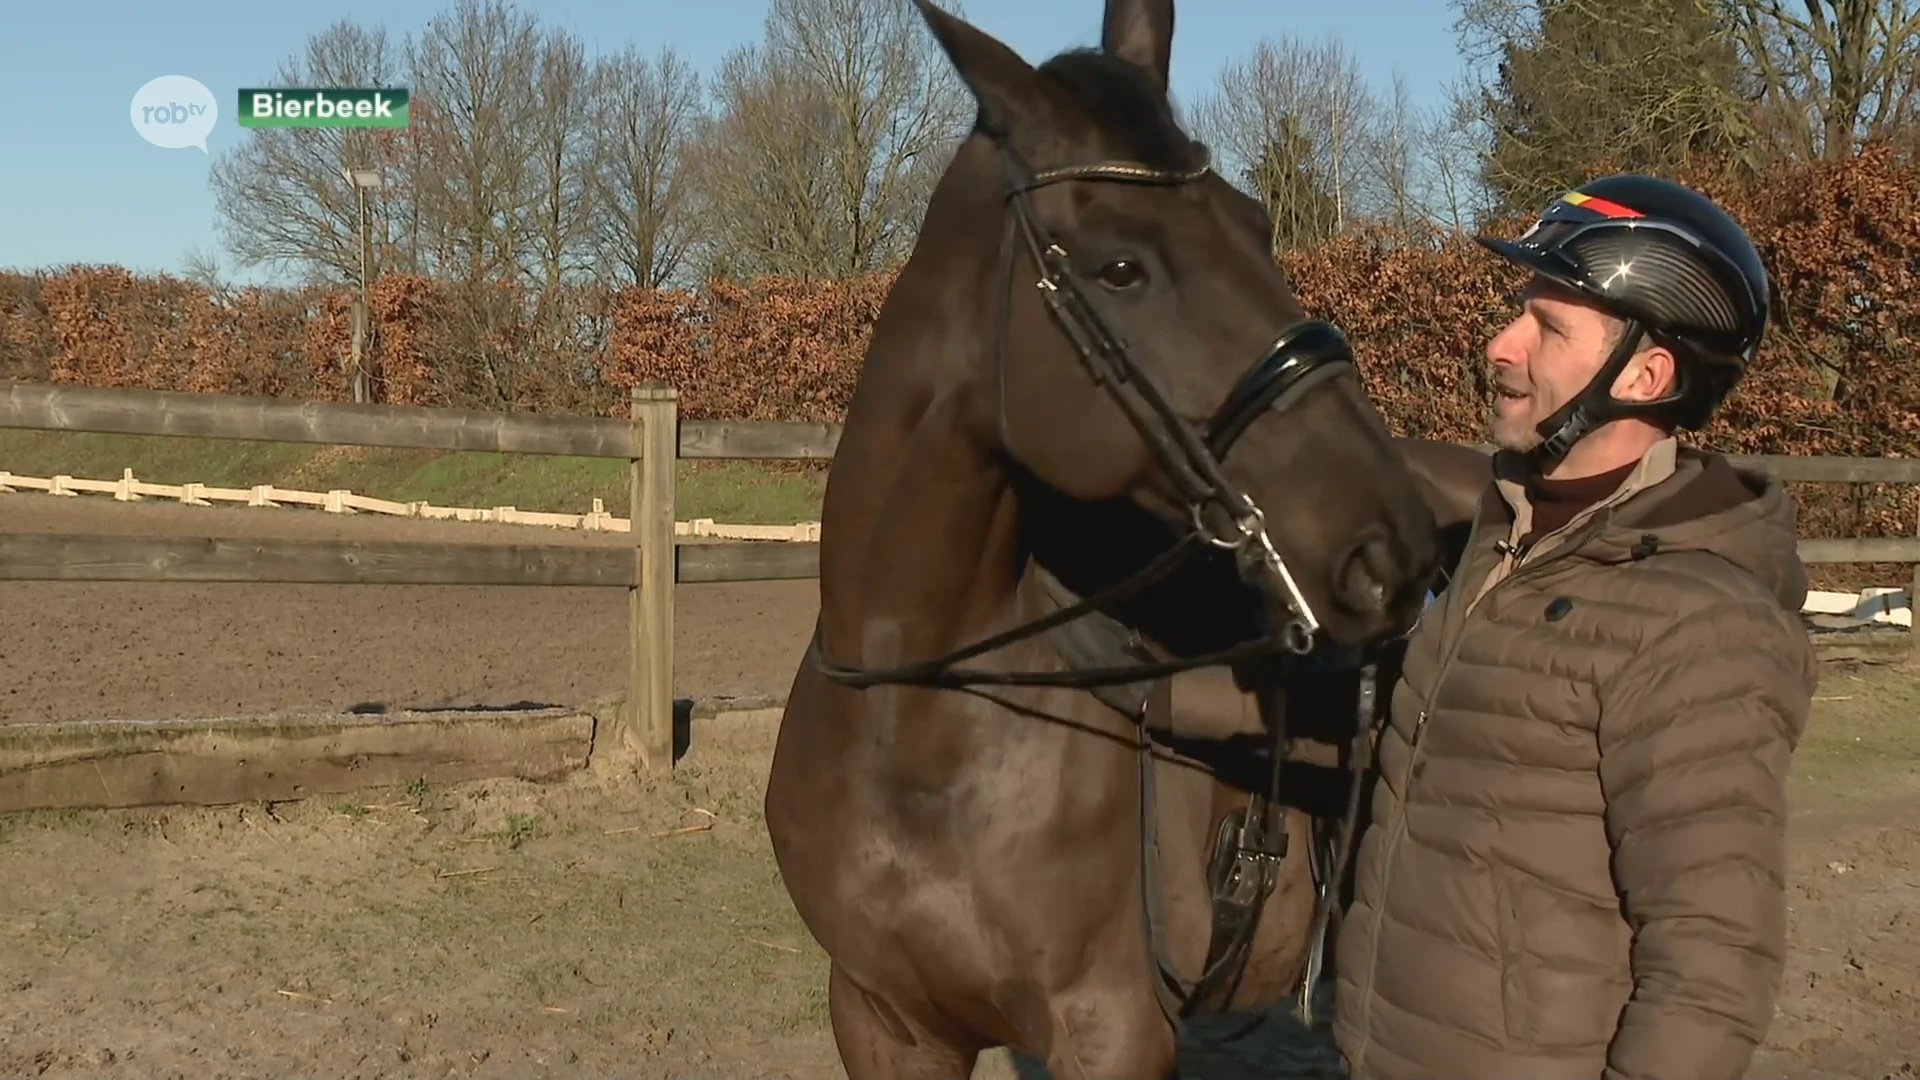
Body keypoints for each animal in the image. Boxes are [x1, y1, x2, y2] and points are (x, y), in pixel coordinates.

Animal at [756, 4, 1443, 1068]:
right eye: (1122, 266)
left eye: (1257, 225)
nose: (1394, 548)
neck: (915, 721)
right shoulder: (883, 1020)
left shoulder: (1111, 1029)